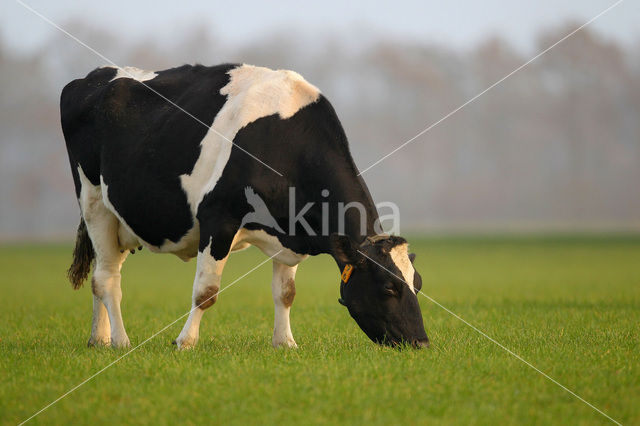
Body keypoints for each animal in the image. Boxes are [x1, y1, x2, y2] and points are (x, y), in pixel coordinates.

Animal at [61, 64, 430, 350]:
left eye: (418, 283)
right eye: (390, 287)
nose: (421, 342)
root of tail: (92, 77)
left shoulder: (289, 230)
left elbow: (286, 293)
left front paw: (285, 343)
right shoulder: (218, 218)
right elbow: (206, 291)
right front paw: (185, 342)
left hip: (121, 220)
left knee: (101, 272)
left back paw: (99, 338)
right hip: (94, 203)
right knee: (107, 279)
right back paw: (120, 341)